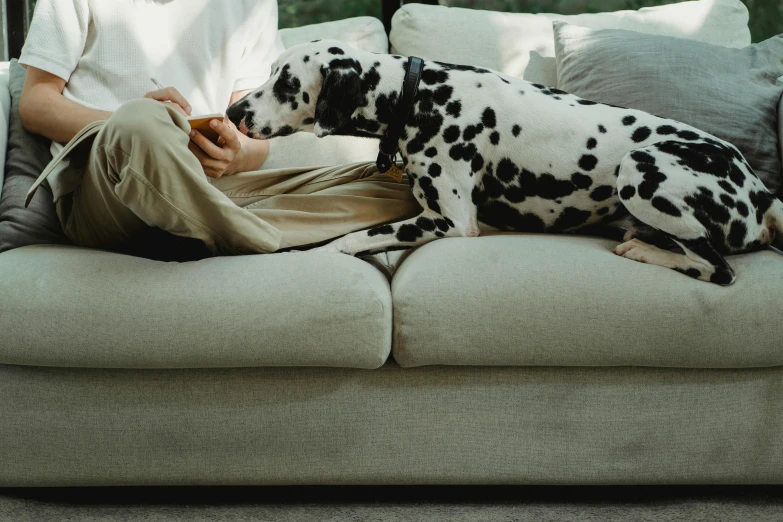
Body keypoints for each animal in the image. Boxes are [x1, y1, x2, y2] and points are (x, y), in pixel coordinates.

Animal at [228, 40, 783, 284]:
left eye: (286, 83)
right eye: (270, 71)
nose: (233, 113)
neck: (419, 95)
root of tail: (762, 194)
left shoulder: (450, 222)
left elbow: (348, 240)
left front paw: (314, 255)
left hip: (640, 170)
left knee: (717, 269)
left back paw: (645, 252)